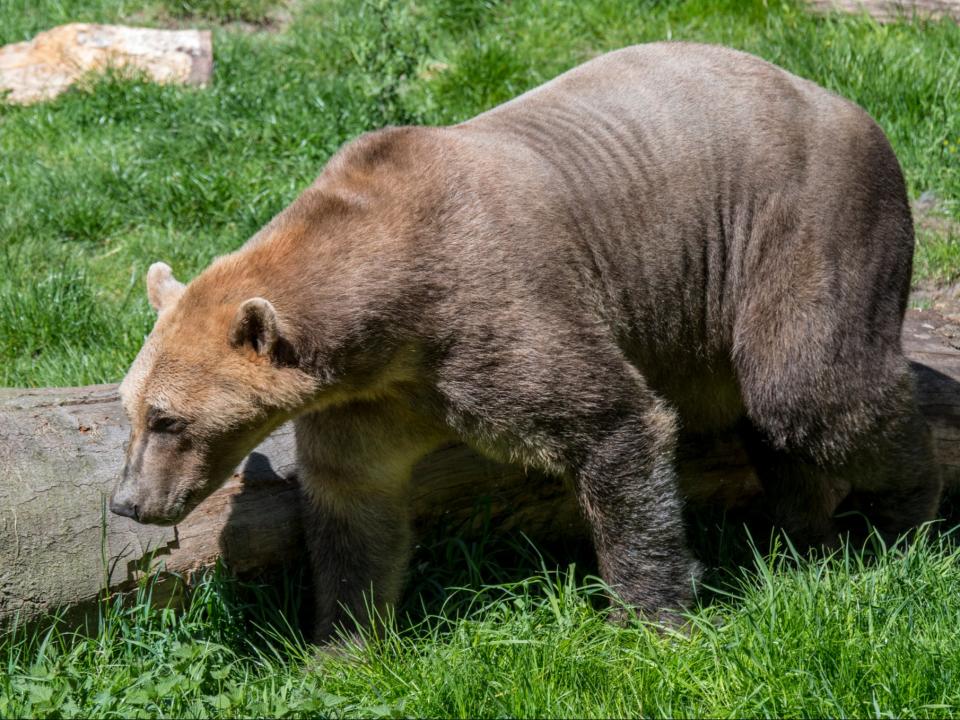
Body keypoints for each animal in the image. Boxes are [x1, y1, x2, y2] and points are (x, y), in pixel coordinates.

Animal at [110, 42, 936, 640]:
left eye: (169, 419)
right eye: (132, 411)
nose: (128, 502)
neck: (390, 312)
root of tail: (848, 105)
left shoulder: (494, 313)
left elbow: (613, 423)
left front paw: (650, 617)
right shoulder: (373, 397)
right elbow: (354, 504)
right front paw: (342, 641)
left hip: (803, 224)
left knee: (813, 392)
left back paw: (906, 515)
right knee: (778, 426)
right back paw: (804, 530)